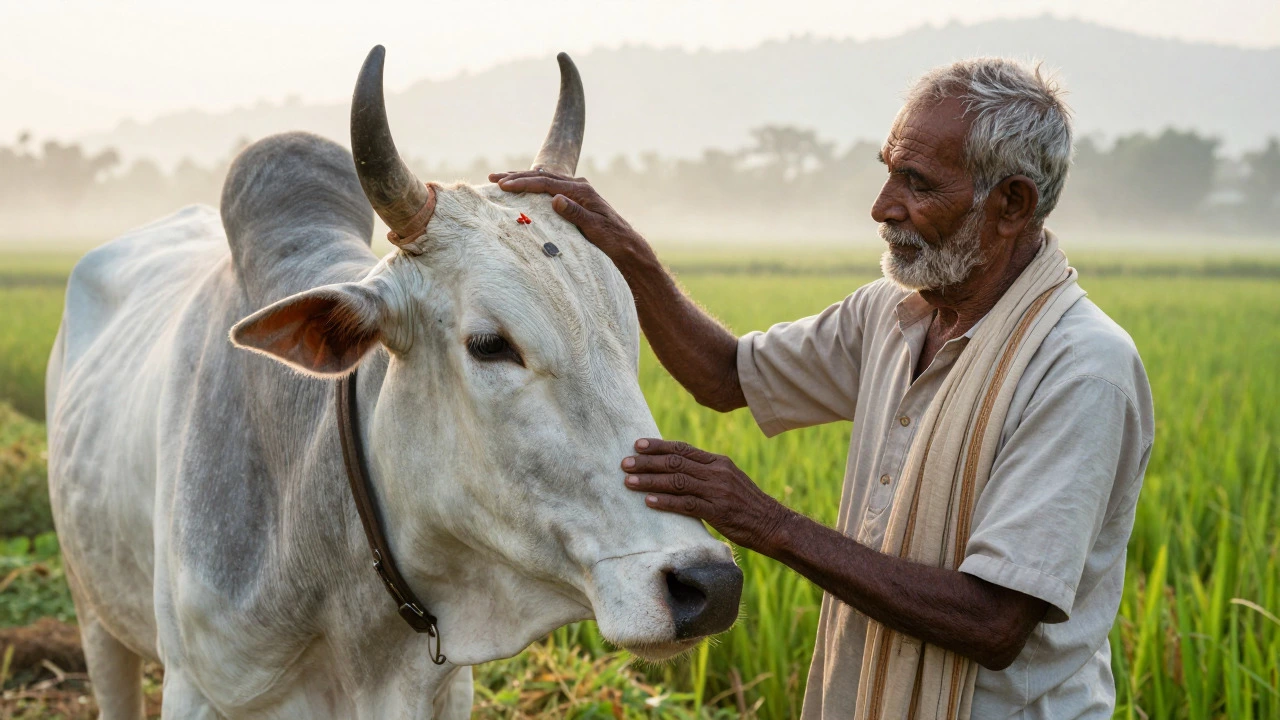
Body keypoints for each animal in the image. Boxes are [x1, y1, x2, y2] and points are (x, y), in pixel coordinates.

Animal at [45, 46, 743, 719]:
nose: (708, 587)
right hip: (93, 610)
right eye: (490, 344)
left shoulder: (446, 692)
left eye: (629, 332)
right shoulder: (193, 687)